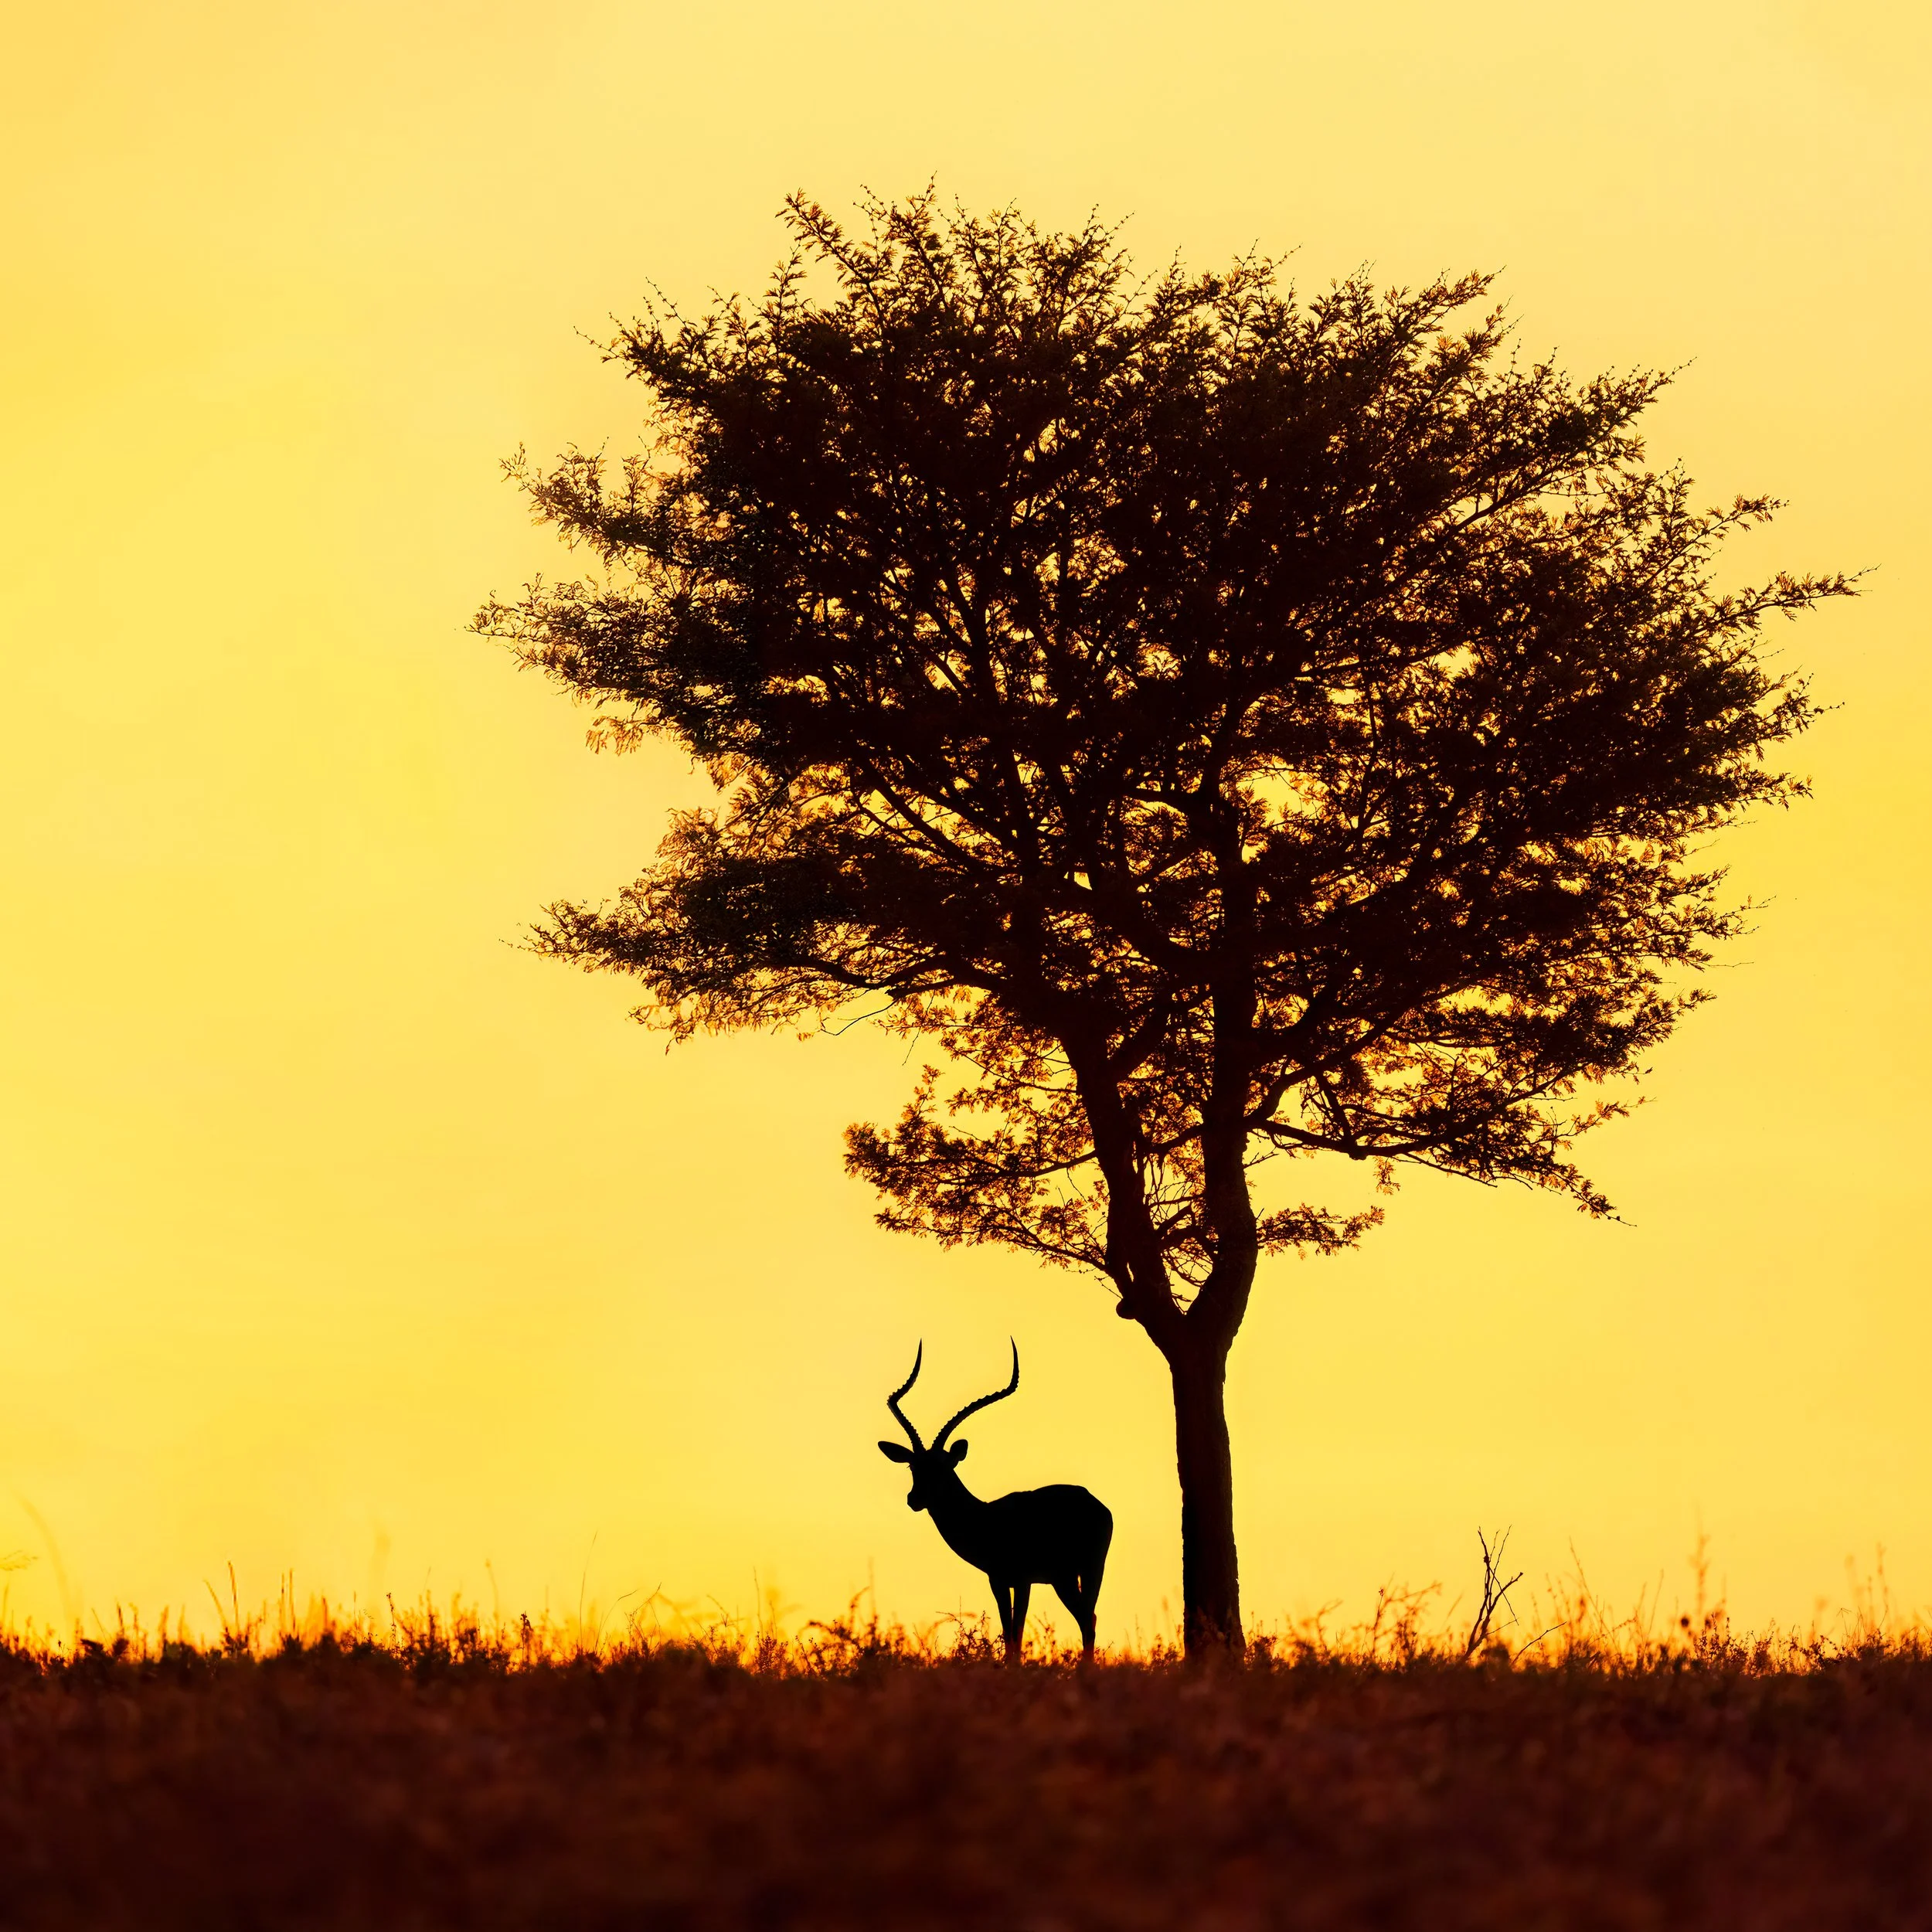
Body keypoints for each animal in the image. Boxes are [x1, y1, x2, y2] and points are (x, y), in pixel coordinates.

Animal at [878, 1341, 1113, 1662]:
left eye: (943, 1467)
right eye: (913, 1467)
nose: (915, 1499)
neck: (984, 1518)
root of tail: (1095, 1503)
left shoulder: (1021, 1579)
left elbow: (1016, 1632)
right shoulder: (999, 1579)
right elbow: (1009, 1629)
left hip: (1081, 1572)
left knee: (1088, 1619)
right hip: (1069, 1577)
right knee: (1089, 1617)